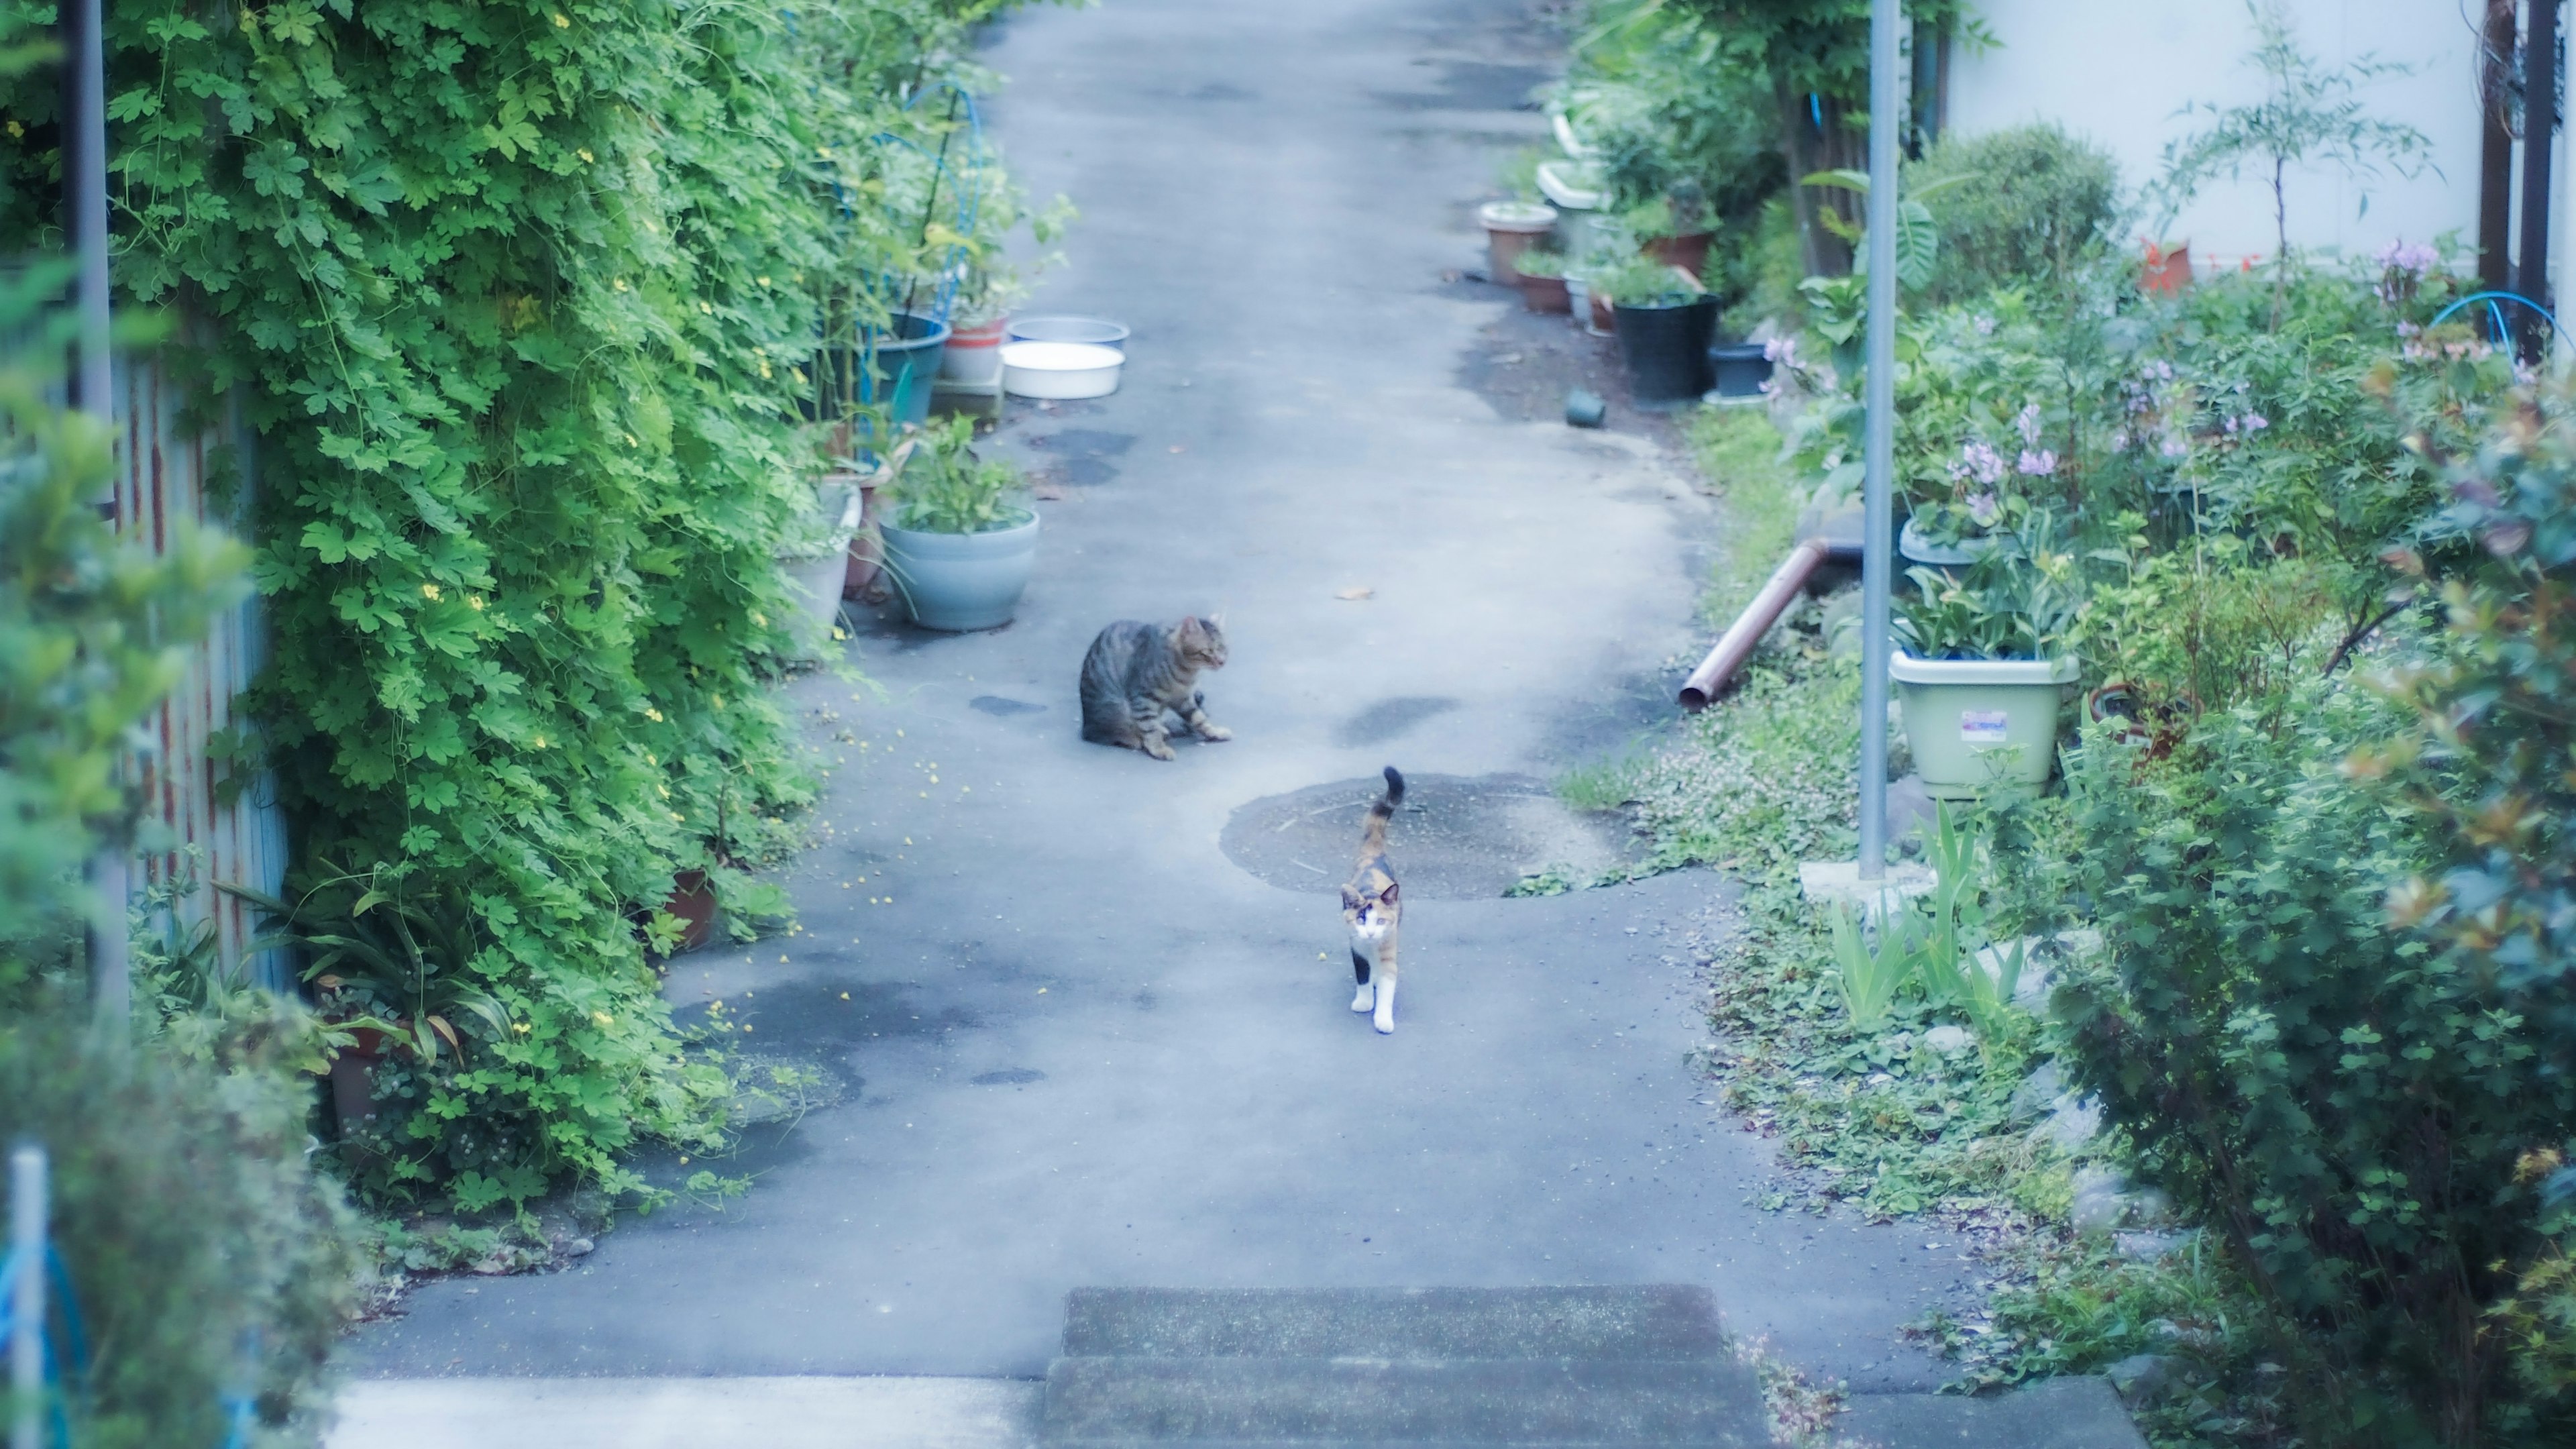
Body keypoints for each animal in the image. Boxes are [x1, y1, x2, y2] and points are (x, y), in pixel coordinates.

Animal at [1071, 613, 1221, 763]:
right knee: (1111, 734)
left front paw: (1215, 732)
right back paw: (1134, 738)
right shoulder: (1142, 697)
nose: (1221, 661)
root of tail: (1086, 726)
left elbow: (1198, 717)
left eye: (1223, 648)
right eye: (1207, 651)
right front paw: (1158, 749)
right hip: (1116, 708)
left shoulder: (1181, 698)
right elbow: (1149, 726)